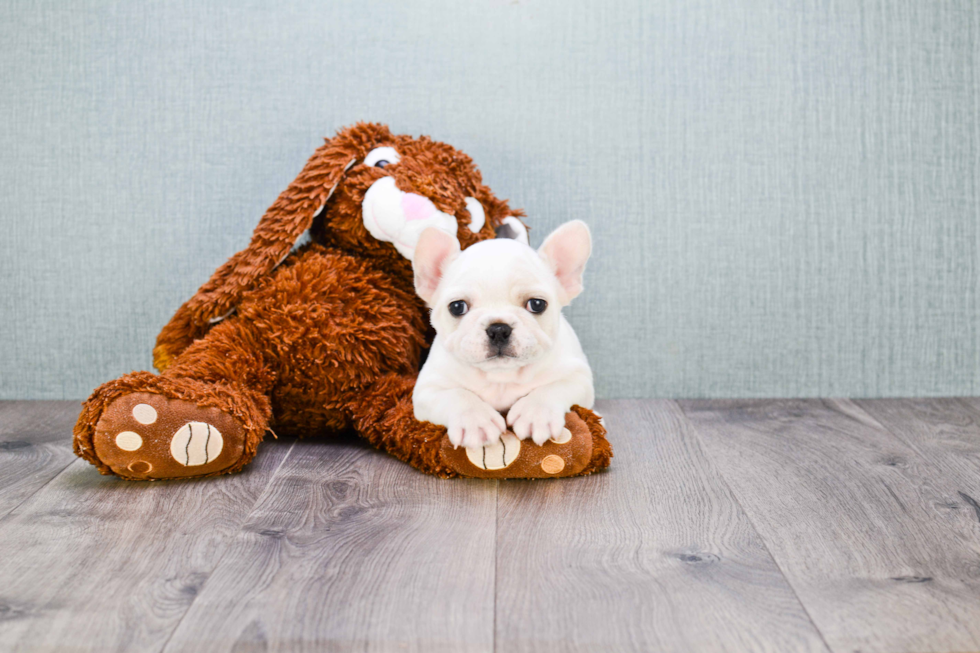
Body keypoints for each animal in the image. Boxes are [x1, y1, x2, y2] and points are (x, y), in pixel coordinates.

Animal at [410, 219, 592, 448]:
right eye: (457, 307)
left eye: (537, 304)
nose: (498, 329)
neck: (501, 378)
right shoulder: (428, 388)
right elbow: (456, 395)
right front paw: (474, 420)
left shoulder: (579, 377)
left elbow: (554, 387)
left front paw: (536, 413)